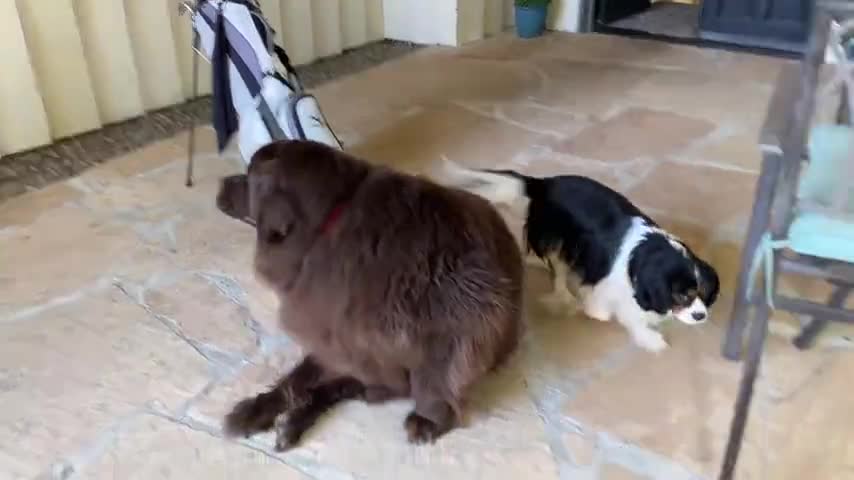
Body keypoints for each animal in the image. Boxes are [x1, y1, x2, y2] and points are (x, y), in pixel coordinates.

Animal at [214, 140, 520, 450]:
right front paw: (261, 408)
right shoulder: (336, 334)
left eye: (248, 176)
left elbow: (436, 378)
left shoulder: (460, 315)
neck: (323, 228)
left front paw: (428, 418)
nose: (221, 181)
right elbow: (297, 380)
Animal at [438, 161, 720, 352]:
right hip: (555, 240)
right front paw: (643, 334)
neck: (646, 253)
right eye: (682, 295)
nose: (701, 316)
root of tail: (544, 183)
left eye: (703, 293)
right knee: (556, 271)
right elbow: (611, 311)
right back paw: (564, 293)